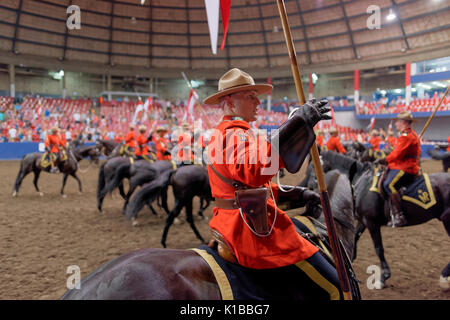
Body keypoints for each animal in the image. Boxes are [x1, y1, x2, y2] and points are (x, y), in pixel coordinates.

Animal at [320, 150, 450, 288]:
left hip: (447, 220)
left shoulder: (371, 222)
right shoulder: (363, 220)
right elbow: (355, 237)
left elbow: (378, 248)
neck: (362, 184)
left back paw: (444, 276)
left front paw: (383, 278)